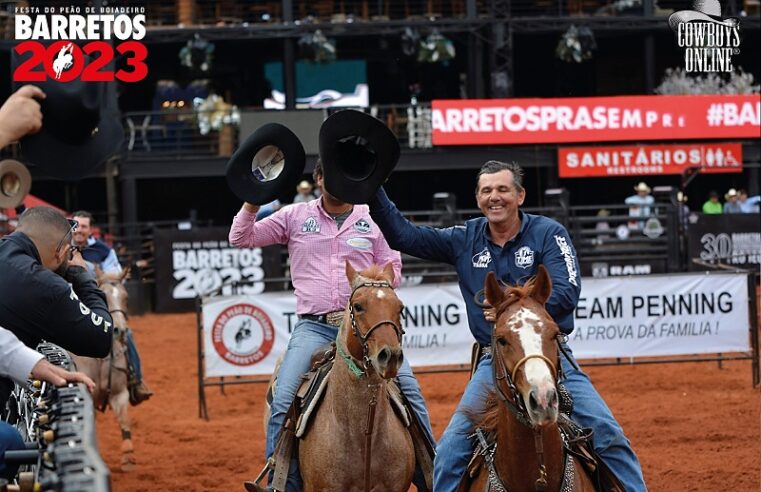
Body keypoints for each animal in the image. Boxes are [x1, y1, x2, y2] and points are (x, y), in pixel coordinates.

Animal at [71, 270, 135, 472]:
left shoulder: (120, 393)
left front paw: (128, 456)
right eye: (103, 296)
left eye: (126, 297)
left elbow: (124, 420)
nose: (119, 330)